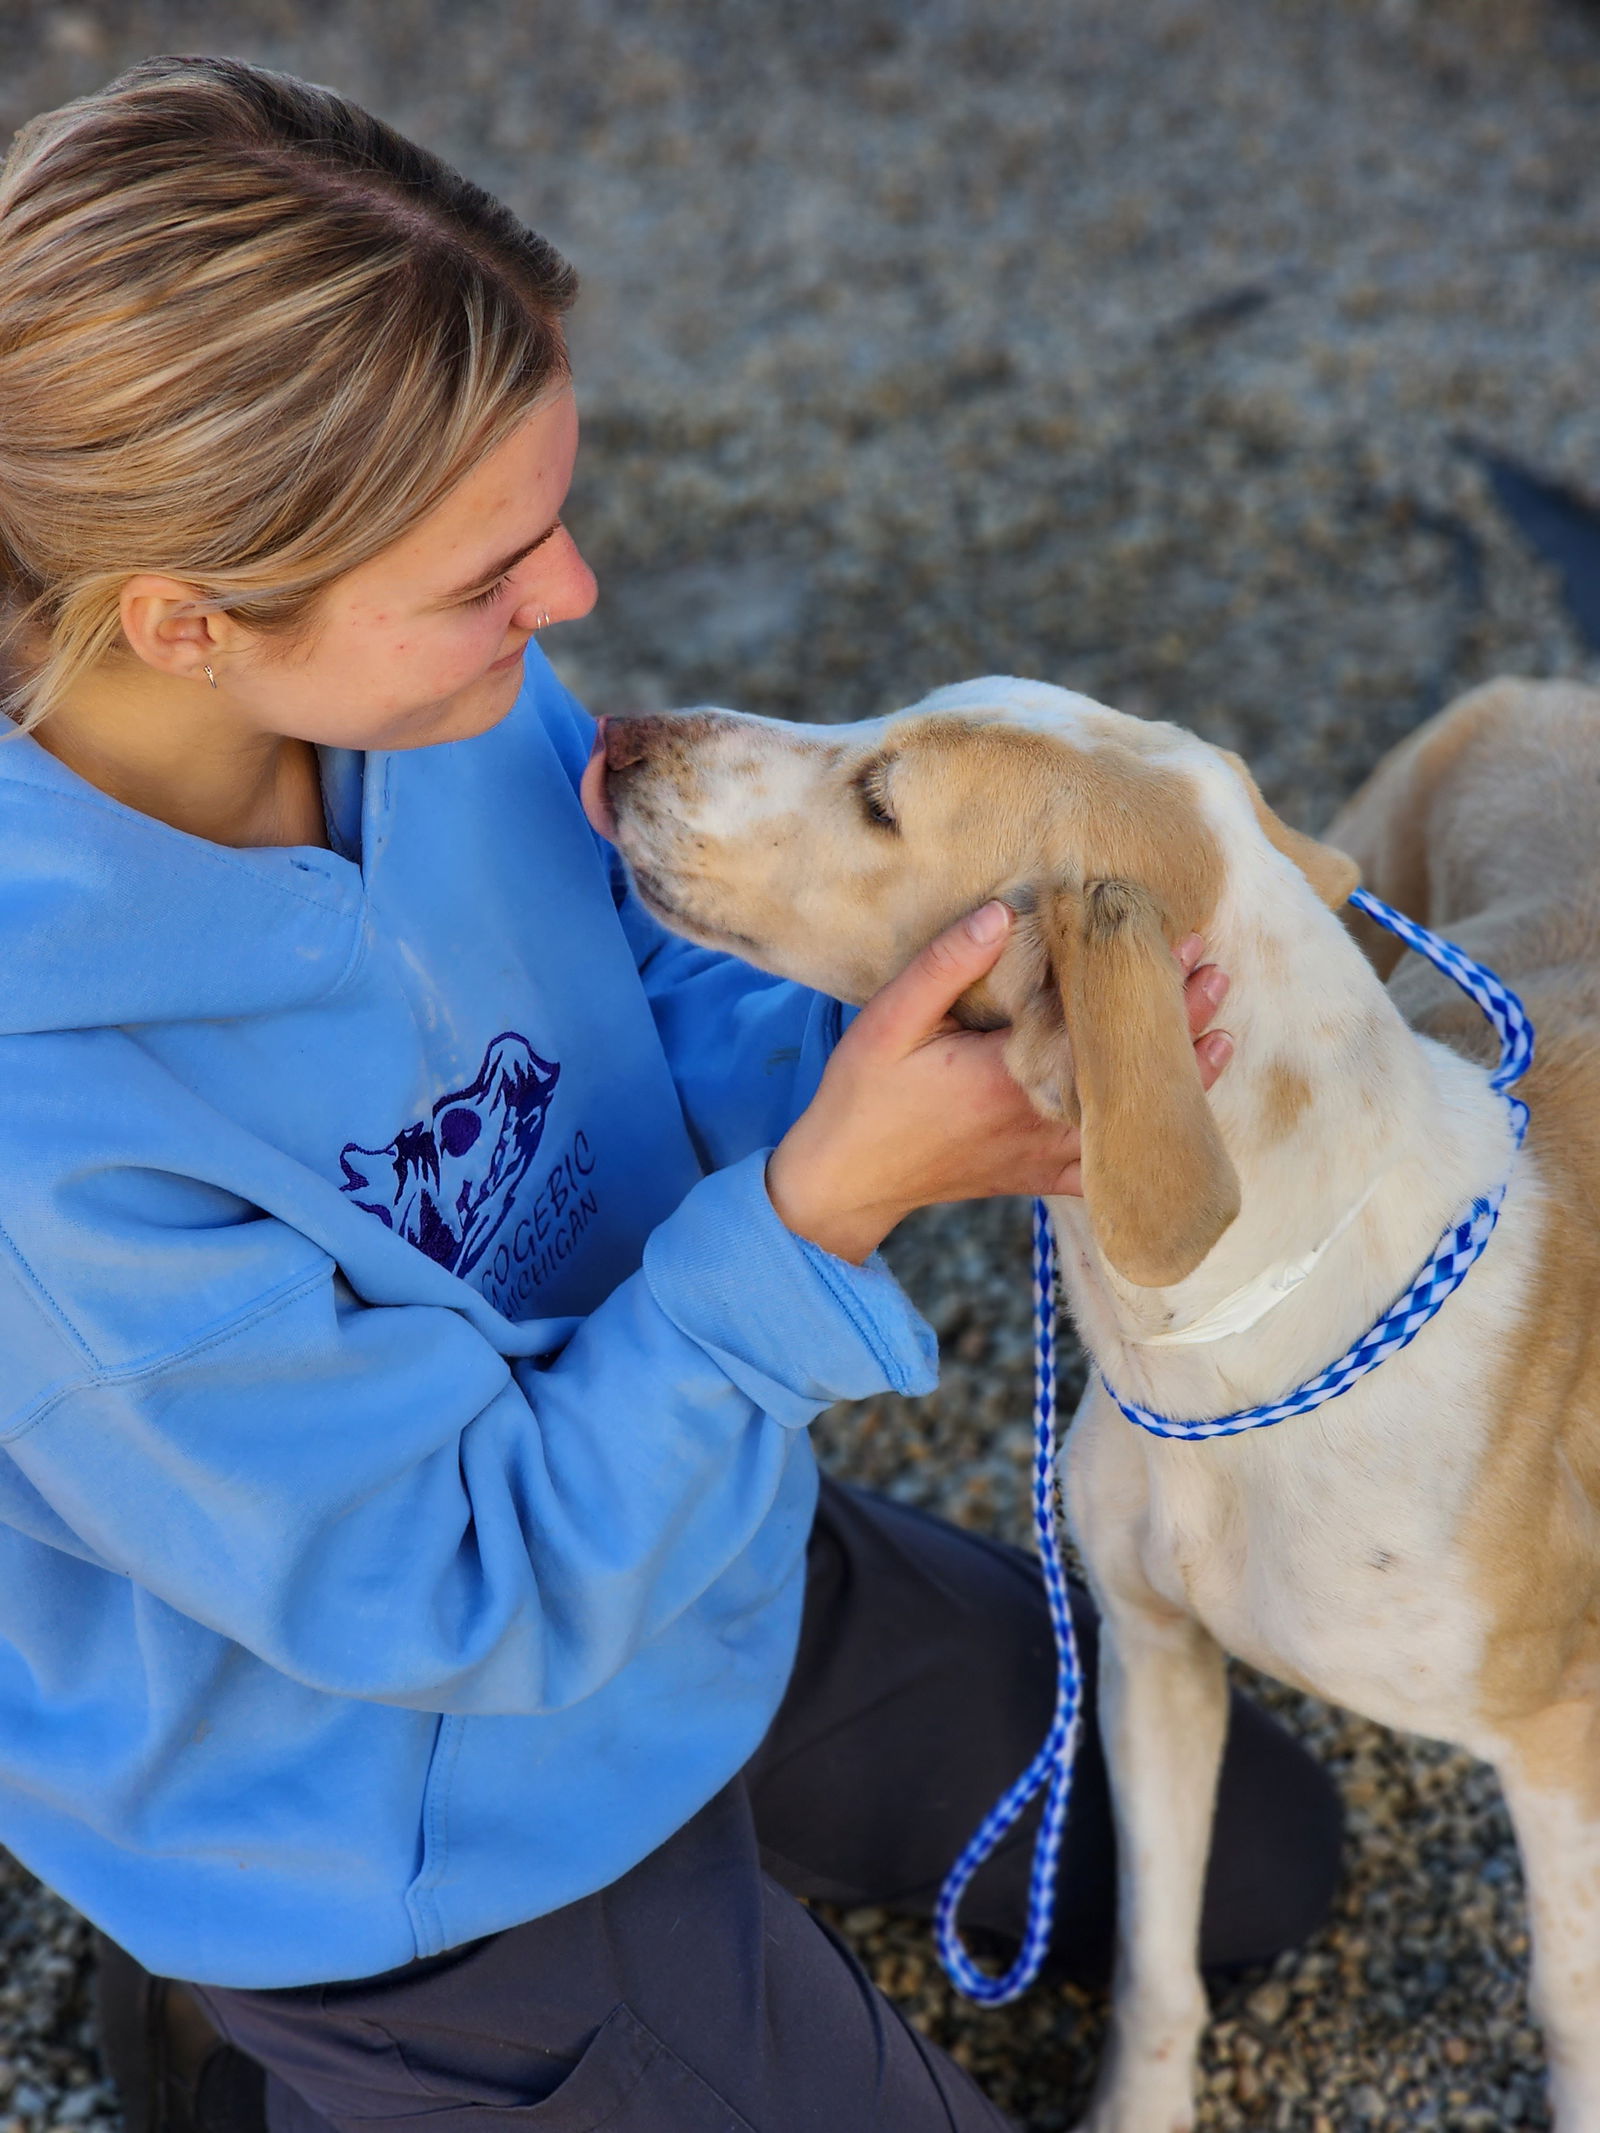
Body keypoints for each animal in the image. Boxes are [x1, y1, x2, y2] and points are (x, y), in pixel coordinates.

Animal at [597, 678, 1600, 2133]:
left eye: (883, 801)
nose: (615, 732)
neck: (1239, 1339)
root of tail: (1548, 689)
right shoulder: (1147, 1654)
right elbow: (1153, 1955)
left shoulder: (1557, 1739)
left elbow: (1569, 2003)